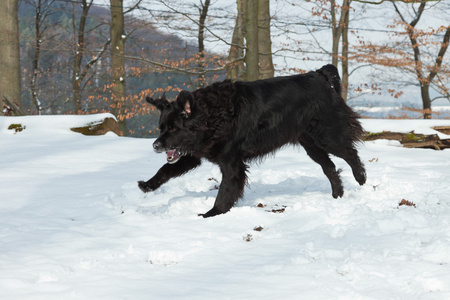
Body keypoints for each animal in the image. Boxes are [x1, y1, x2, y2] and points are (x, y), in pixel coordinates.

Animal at [140, 64, 366, 217]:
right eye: (161, 128)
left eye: (173, 128)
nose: (155, 145)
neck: (213, 115)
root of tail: (319, 75)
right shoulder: (197, 151)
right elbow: (166, 169)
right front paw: (148, 185)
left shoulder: (231, 163)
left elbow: (225, 191)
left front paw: (212, 214)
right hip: (310, 144)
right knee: (330, 167)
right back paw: (337, 195)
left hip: (327, 136)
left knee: (350, 153)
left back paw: (361, 177)